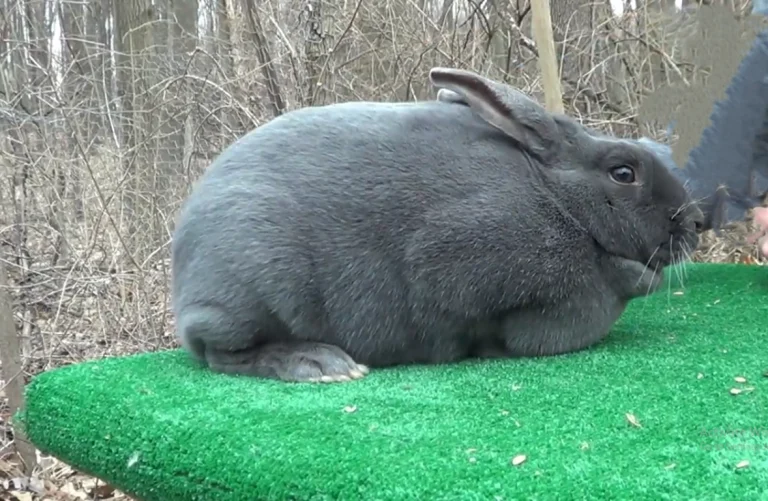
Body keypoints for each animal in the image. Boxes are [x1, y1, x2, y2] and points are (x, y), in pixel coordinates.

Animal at [171, 67, 705, 384]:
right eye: (624, 172)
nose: (698, 221)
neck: (559, 201)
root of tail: (183, 280)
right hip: (248, 288)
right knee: (222, 353)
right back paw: (321, 364)